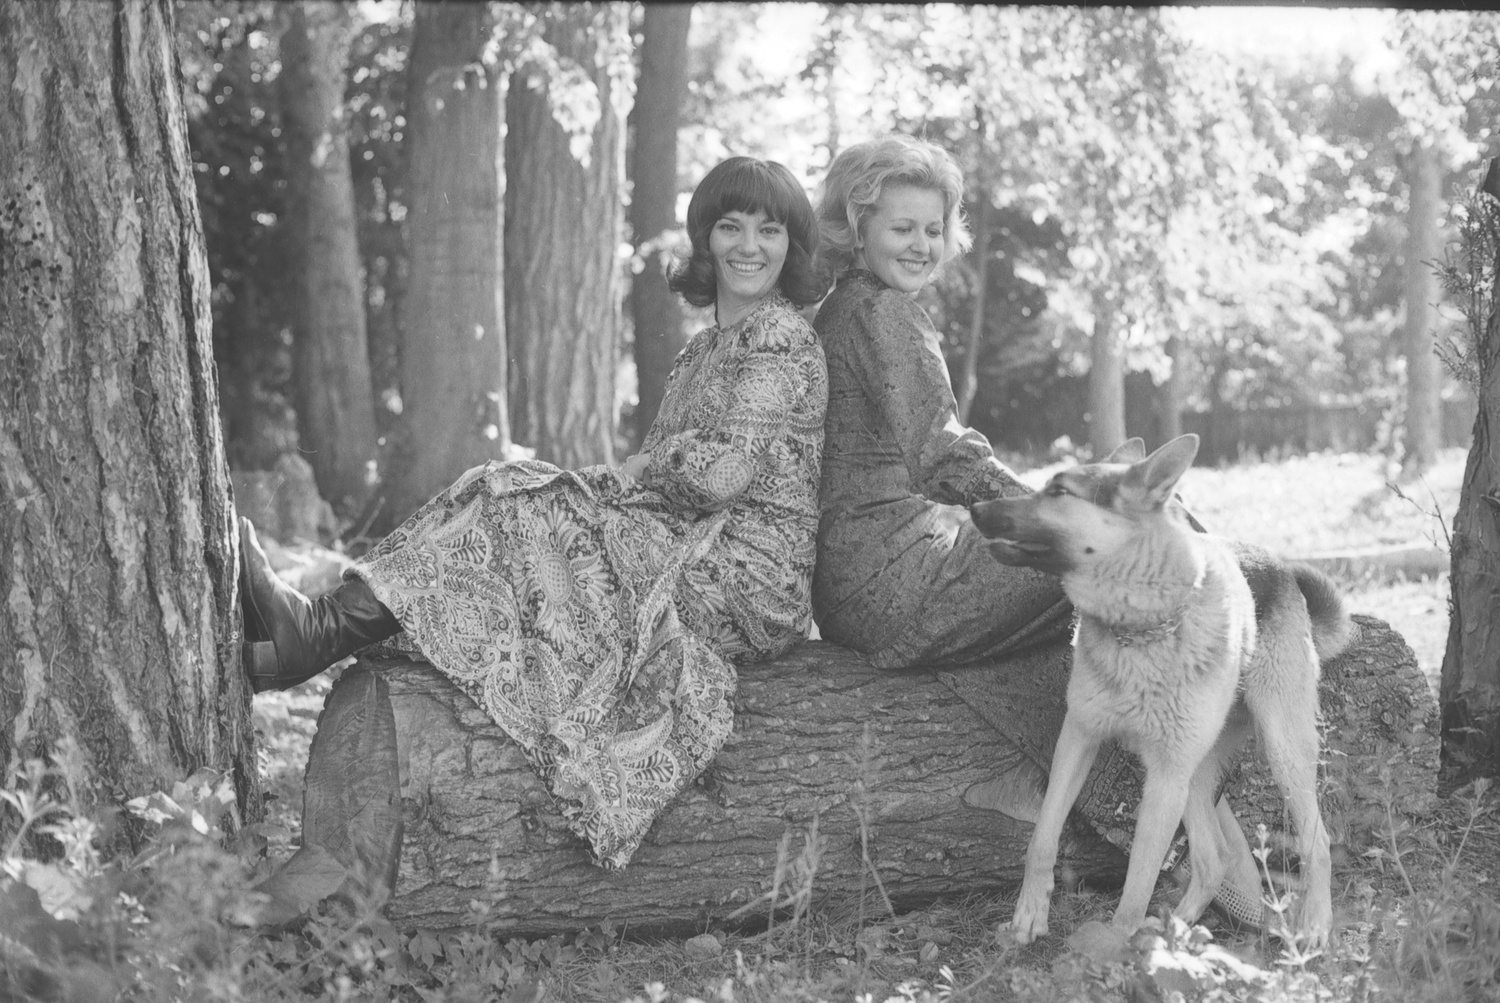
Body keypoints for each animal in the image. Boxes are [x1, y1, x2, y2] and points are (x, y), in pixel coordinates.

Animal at [966, 434, 1356, 941]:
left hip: (1280, 753)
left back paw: (1315, 924)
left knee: (1317, 841)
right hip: (1196, 774)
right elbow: (1043, 839)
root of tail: (1279, 566)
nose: (975, 507)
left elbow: (1137, 884)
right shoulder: (1078, 739)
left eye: (1058, 492)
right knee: (1214, 858)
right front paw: (1030, 914)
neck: (1140, 628)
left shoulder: (1164, 778)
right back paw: (1179, 928)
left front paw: (1115, 945)